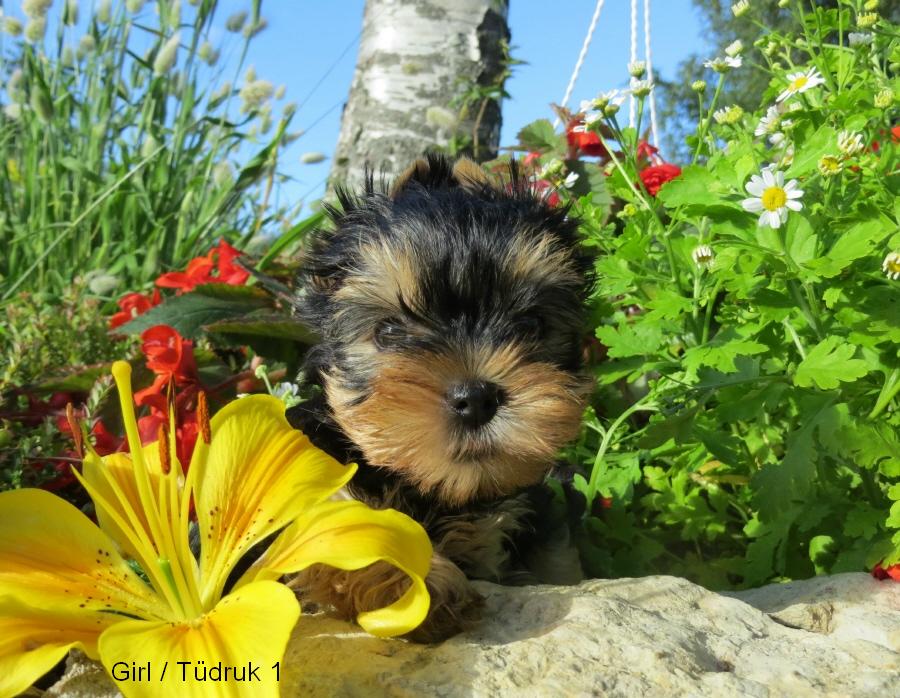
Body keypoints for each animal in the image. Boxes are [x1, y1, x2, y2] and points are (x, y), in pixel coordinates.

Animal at [288, 154, 596, 640]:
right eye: (389, 332)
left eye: (530, 326)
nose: (476, 397)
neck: (439, 493)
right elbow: (342, 523)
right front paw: (421, 587)